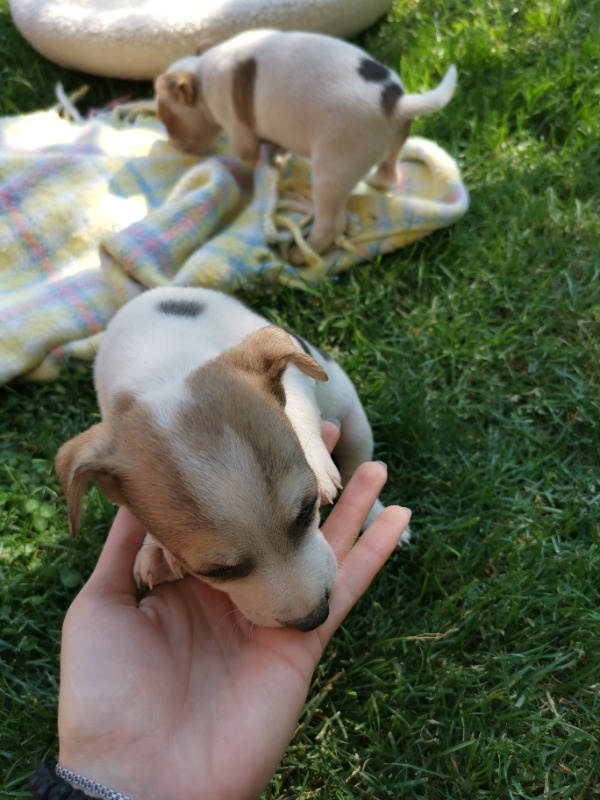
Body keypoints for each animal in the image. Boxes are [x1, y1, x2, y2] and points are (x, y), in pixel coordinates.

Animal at [56, 288, 408, 632]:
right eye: (216, 572)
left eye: (308, 509)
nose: (315, 618)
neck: (163, 373)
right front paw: (154, 547)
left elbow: (295, 402)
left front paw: (316, 462)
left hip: (354, 421)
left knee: (356, 465)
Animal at [156, 28, 460, 258]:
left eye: (167, 120)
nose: (174, 145)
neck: (202, 75)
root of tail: (395, 102)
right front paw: (277, 154)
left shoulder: (239, 133)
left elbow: (247, 155)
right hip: (392, 145)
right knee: (388, 174)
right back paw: (374, 180)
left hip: (331, 170)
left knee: (331, 223)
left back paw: (304, 254)